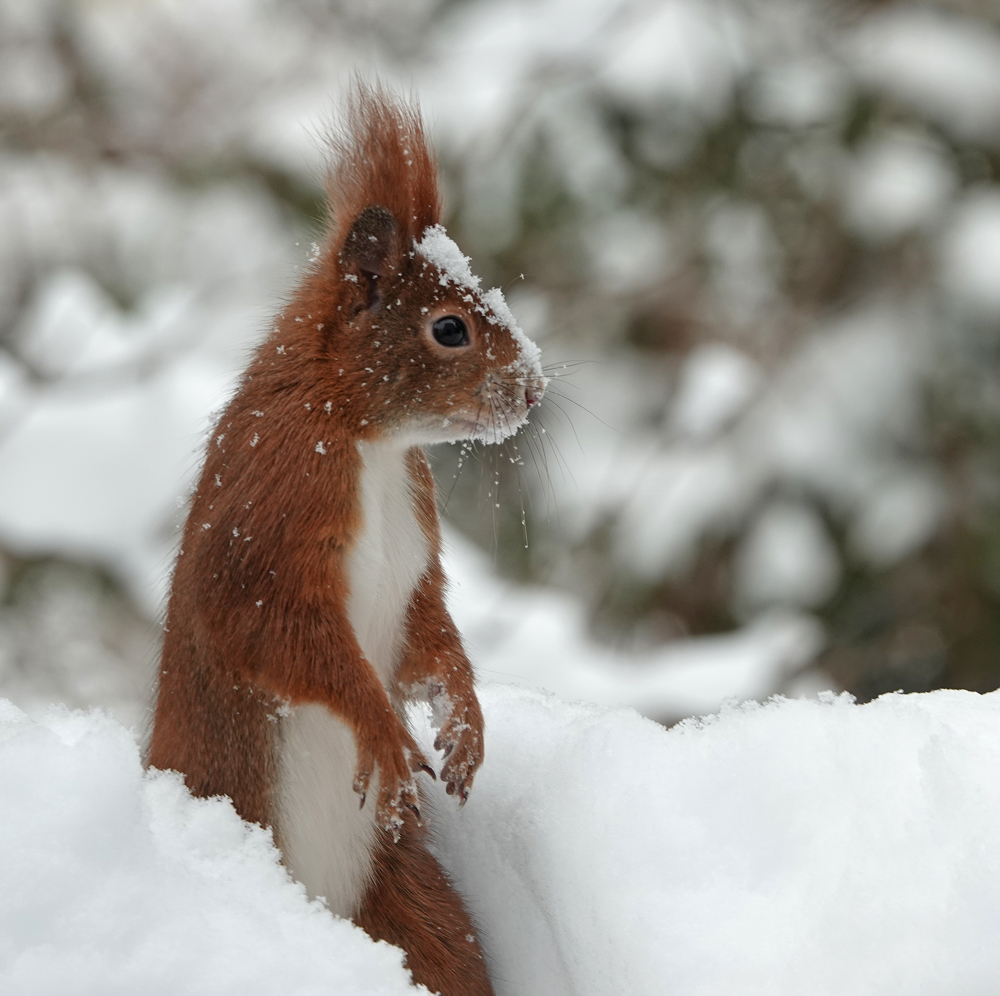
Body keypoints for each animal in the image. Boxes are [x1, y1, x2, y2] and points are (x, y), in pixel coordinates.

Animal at [145, 85, 544, 996]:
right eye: (449, 329)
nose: (536, 388)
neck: (368, 440)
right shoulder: (272, 513)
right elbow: (271, 630)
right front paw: (383, 730)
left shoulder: (417, 555)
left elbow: (430, 636)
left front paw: (465, 723)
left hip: (415, 903)